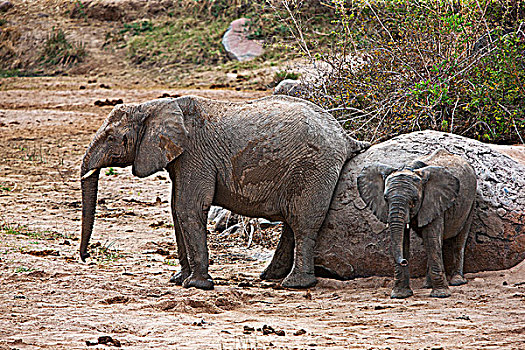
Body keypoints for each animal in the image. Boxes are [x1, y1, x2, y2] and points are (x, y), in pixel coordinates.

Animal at [81, 95, 368, 290]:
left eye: (110, 137)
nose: (86, 258)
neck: (153, 107)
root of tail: (345, 136)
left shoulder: (196, 157)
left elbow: (188, 208)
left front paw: (196, 285)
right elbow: (176, 210)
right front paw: (179, 280)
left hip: (314, 166)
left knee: (303, 222)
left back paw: (295, 284)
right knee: (291, 223)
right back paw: (270, 277)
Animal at [356, 148, 474, 298]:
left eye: (414, 200)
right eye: (385, 199)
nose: (404, 261)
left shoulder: (434, 202)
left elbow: (431, 238)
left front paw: (441, 295)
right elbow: (404, 241)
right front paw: (400, 295)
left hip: (471, 201)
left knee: (458, 239)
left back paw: (457, 281)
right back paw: (427, 285)